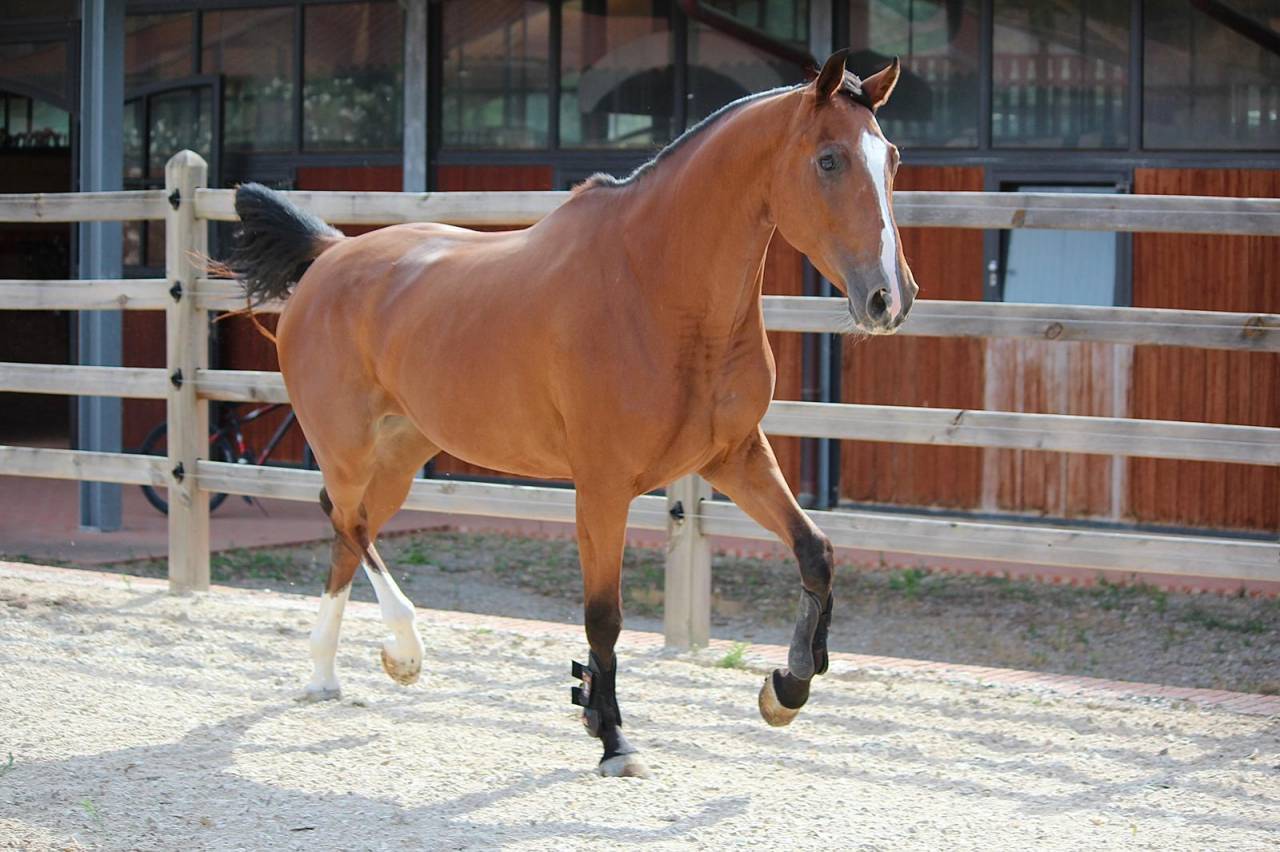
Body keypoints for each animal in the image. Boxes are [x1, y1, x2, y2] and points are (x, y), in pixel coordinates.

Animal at [226, 50, 917, 778]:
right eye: (829, 160)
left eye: (894, 158)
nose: (888, 298)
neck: (654, 289)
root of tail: (331, 255)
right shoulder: (603, 487)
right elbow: (604, 617)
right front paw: (612, 737)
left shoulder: (734, 457)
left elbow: (816, 552)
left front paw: (785, 687)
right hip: (348, 446)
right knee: (347, 521)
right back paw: (404, 650)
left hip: (401, 455)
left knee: (345, 530)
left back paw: (325, 675)